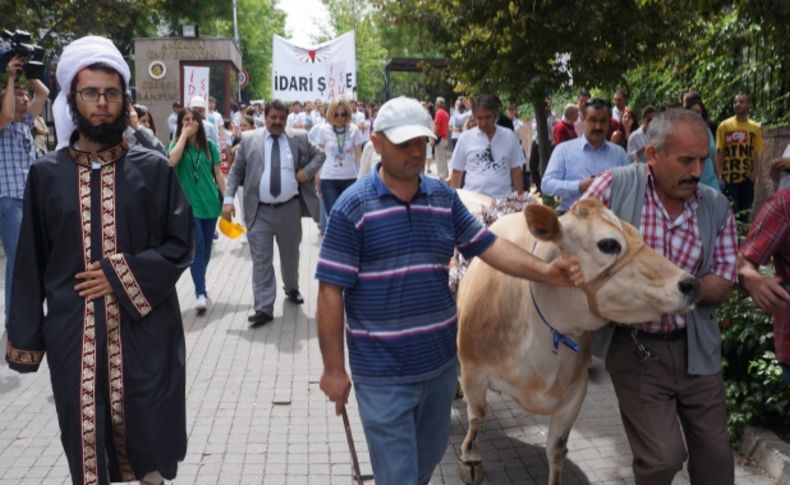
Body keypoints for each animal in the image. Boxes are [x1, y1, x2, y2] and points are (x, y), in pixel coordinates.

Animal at [458, 198, 700, 484]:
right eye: (609, 244)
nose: (690, 284)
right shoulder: (473, 371)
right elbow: (477, 416)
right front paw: (470, 459)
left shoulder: (575, 393)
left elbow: (557, 448)